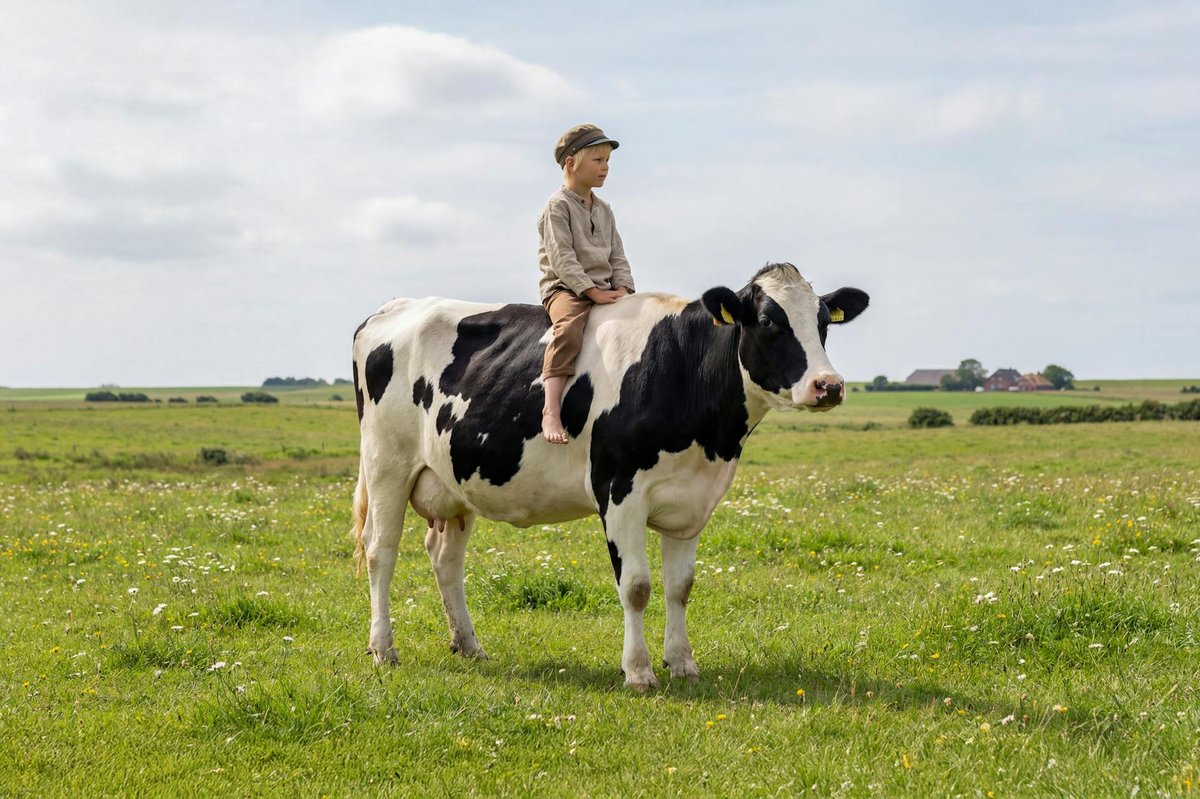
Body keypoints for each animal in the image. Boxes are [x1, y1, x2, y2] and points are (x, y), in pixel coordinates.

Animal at [350, 263, 869, 689]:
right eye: (768, 322)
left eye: (823, 322)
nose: (829, 385)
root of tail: (392, 308)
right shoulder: (619, 492)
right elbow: (636, 586)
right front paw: (638, 671)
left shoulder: (691, 499)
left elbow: (681, 586)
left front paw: (682, 663)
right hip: (386, 464)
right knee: (381, 551)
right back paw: (383, 649)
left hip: (455, 478)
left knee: (446, 559)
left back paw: (470, 646)